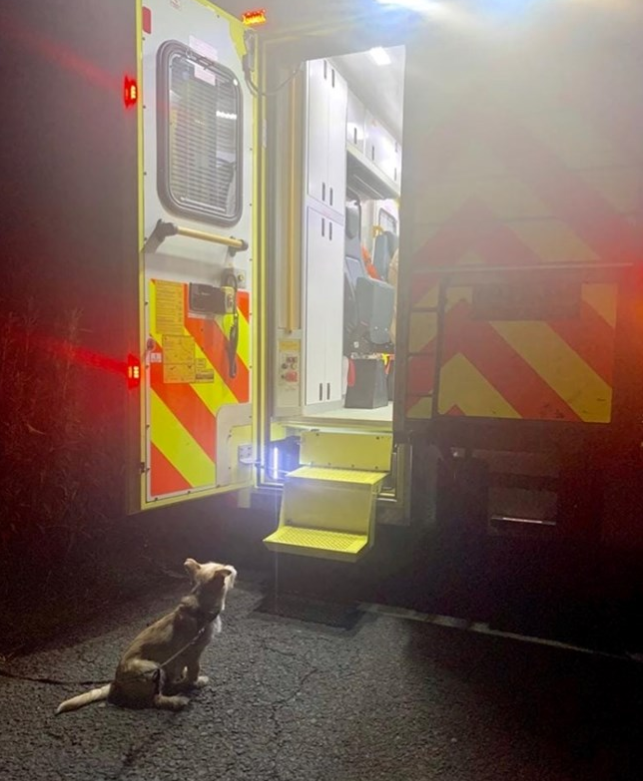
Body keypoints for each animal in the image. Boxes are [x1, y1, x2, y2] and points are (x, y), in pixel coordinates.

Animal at [55, 556, 236, 716]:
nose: (234, 569)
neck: (200, 605)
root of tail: (116, 683)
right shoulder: (193, 653)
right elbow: (194, 672)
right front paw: (197, 682)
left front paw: (184, 676)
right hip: (153, 669)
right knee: (154, 700)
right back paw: (176, 701)